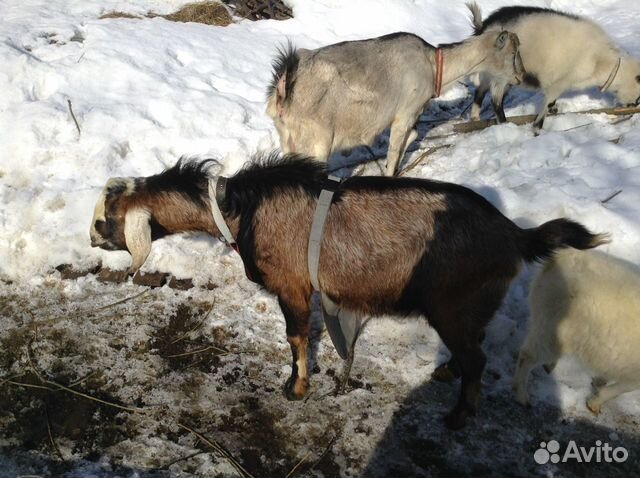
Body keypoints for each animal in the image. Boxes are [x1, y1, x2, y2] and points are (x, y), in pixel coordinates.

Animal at [89, 154, 604, 430]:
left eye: (103, 220)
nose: (92, 241)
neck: (239, 209)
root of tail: (516, 234)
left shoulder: (292, 284)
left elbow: (296, 337)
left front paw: (296, 388)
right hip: (471, 305)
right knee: (473, 347)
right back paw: (447, 373)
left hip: (452, 303)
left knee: (477, 358)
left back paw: (459, 415)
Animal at [268, 28, 524, 175]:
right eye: (512, 54)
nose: (520, 77)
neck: (433, 65)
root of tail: (285, 86)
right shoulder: (405, 114)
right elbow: (393, 152)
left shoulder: (413, 115)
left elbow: (411, 136)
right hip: (316, 144)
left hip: (289, 140)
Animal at [464, 1, 640, 129]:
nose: (636, 105)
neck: (602, 62)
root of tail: (484, 26)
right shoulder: (561, 82)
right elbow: (547, 102)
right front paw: (537, 128)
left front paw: (554, 110)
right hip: (501, 74)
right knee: (496, 101)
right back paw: (505, 124)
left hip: (494, 74)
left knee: (480, 91)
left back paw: (475, 118)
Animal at [512, 248, 640, 416]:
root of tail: (561, 256)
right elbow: (622, 388)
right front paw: (595, 402)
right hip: (555, 328)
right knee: (527, 356)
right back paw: (521, 396)